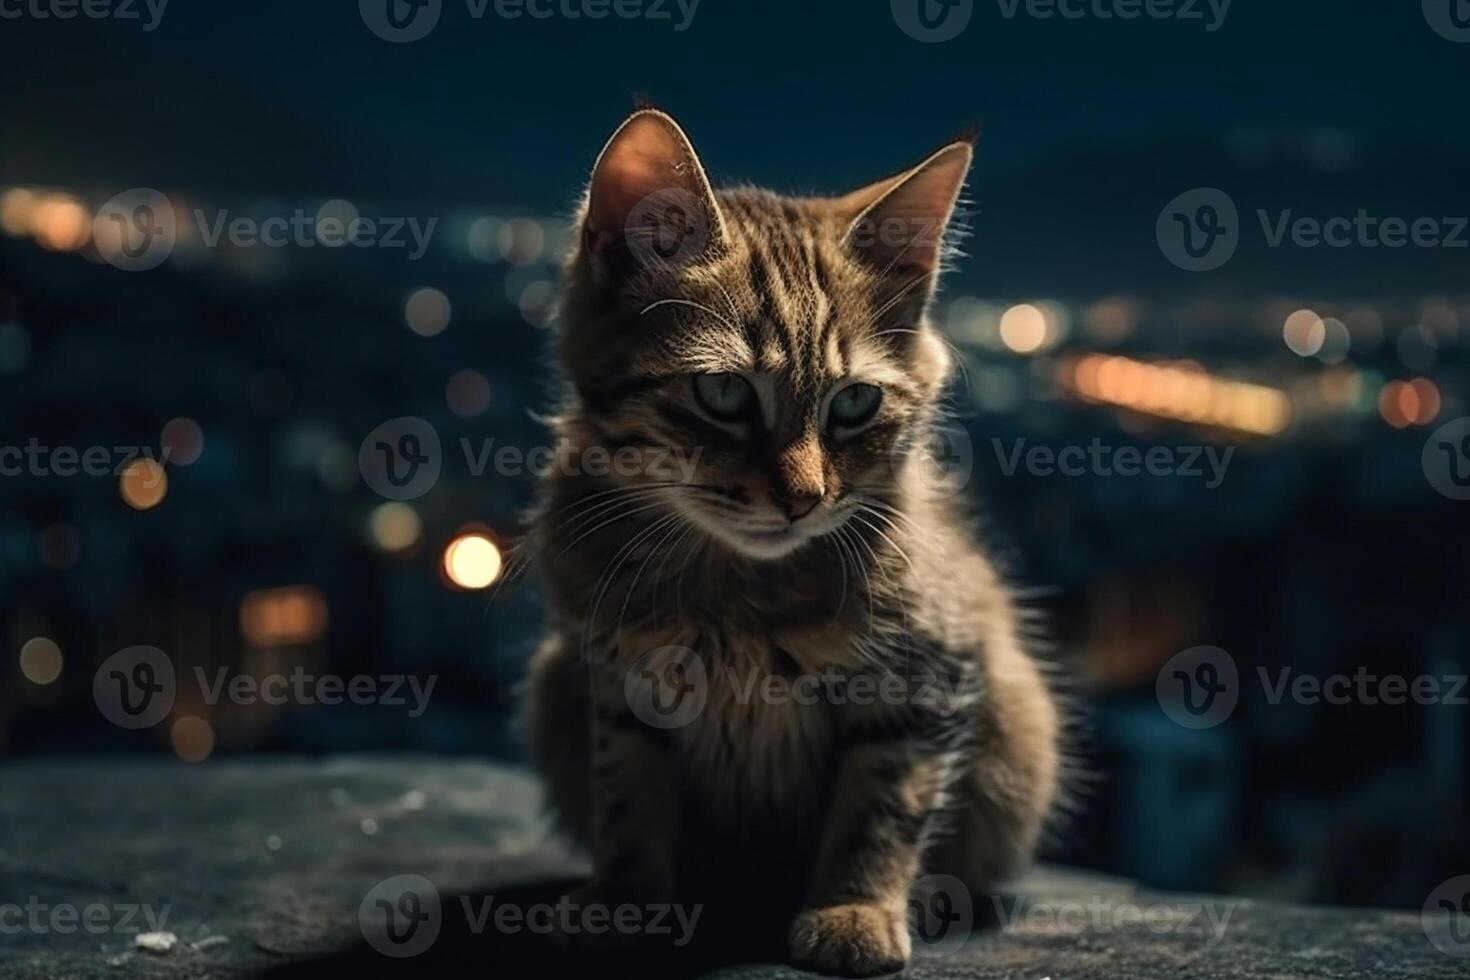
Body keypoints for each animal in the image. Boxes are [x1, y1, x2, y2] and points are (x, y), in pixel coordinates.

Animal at [523, 109, 1064, 975]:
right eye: (722, 392)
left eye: (854, 404)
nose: (804, 499)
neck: (738, 593)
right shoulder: (617, 684)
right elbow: (628, 798)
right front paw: (625, 902)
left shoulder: (925, 683)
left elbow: (881, 810)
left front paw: (854, 909)